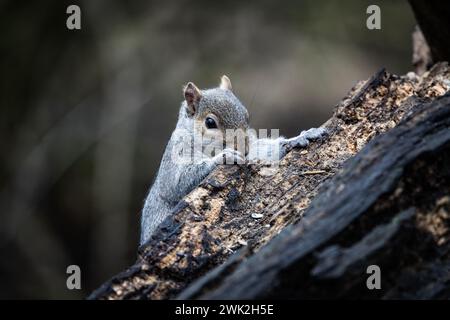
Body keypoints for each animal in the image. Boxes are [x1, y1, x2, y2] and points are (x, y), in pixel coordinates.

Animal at [141, 75, 326, 245]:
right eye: (210, 122)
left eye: (246, 115)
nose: (243, 149)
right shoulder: (176, 156)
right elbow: (177, 185)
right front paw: (225, 156)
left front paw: (299, 137)